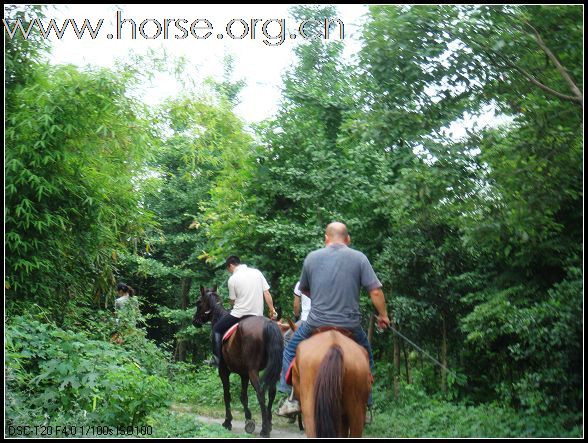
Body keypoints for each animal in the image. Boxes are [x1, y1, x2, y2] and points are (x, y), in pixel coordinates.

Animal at [192, 286, 284, 438]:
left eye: (198, 302)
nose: (195, 321)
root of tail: (269, 324)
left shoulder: (224, 371)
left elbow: (227, 395)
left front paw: (227, 422)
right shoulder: (244, 374)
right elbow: (243, 397)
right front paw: (248, 419)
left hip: (253, 371)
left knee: (261, 394)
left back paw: (265, 429)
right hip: (273, 369)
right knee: (271, 392)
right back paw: (269, 423)